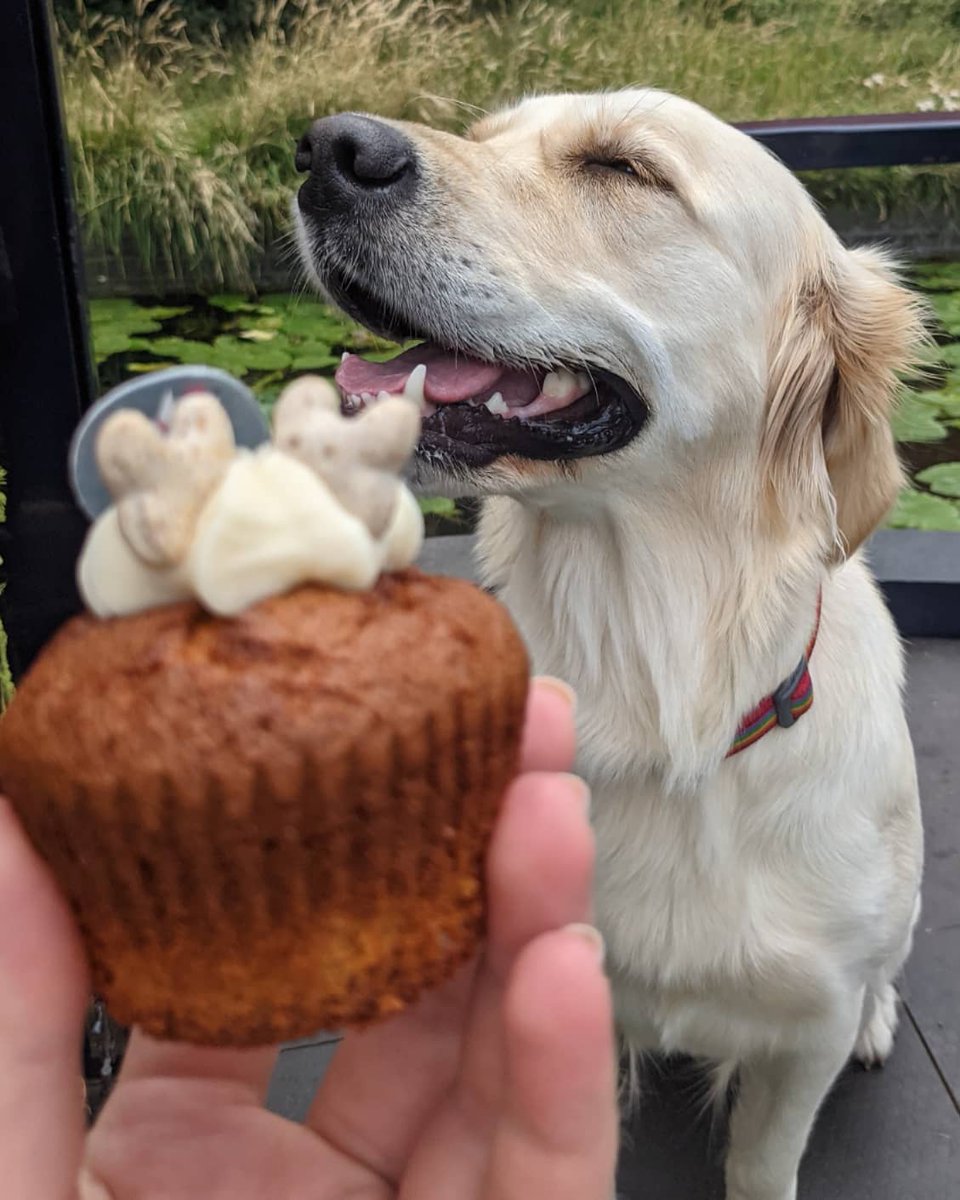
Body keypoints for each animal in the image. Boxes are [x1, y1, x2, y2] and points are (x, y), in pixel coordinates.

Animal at [294, 88, 931, 1195]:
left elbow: (765, 1159)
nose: (327, 149)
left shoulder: (802, 1030)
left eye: (625, 169)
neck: (654, 689)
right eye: (487, 134)